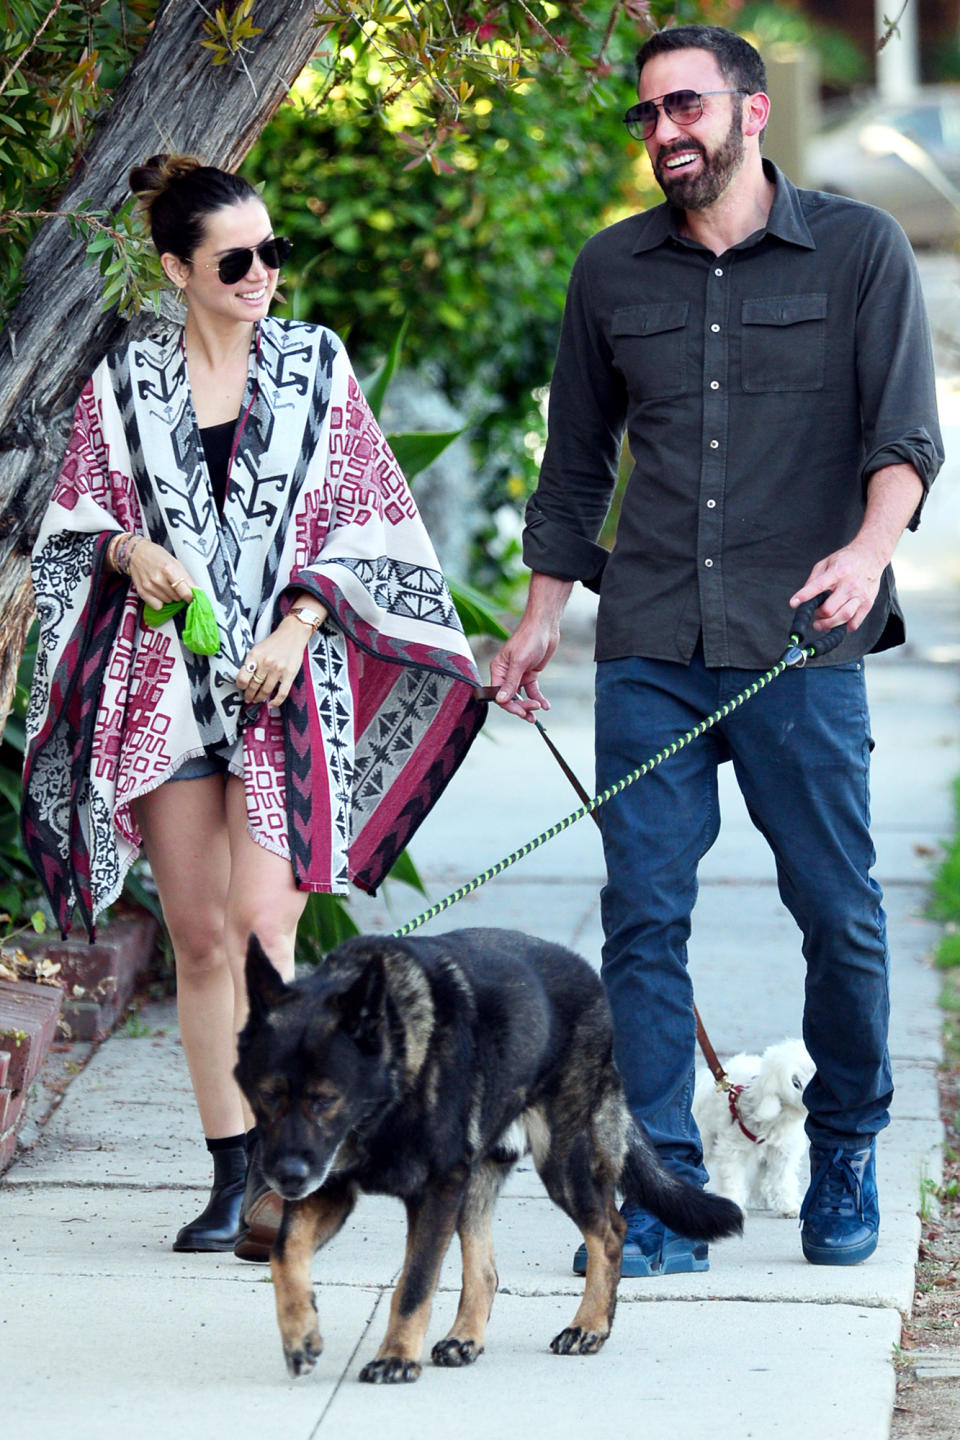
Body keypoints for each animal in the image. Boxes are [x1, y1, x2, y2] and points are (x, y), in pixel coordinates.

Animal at [234, 927, 742, 1376]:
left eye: (325, 1100)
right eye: (267, 1096)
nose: (285, 1178)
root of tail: (592, 982)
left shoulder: (434, 1191)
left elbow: (415, 1283)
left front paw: (396, 1357)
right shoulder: (332, 1189)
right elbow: (285, 1251)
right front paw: (300, 1334)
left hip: (560, 1166)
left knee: (610, 1232)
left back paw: (589, 1326)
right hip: (475, 1183)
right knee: (485, 1270)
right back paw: (466, 1337)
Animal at [693, 1036, 817, 1215]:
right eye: (795, 1084)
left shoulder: (783, 1150)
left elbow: (782, 1179)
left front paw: (787, 1204)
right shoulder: (733, 1149)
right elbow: (732, 1177)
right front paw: (734, 1203)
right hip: (705, 1137)